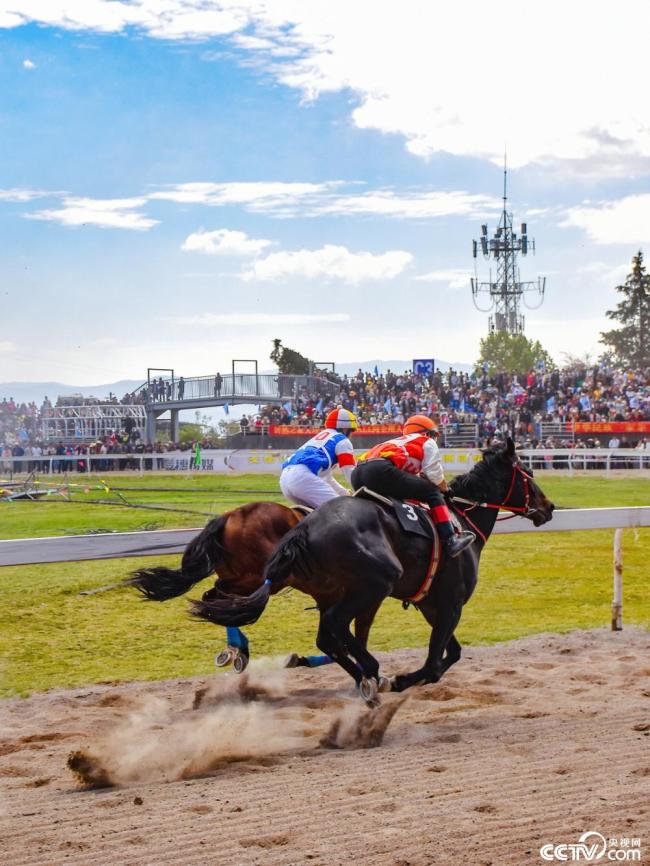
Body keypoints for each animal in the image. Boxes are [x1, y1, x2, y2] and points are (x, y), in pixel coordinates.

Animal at [187, 438, 552, 704]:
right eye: (529, 474)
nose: (548, 508)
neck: (461, 517)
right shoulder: (450, 603)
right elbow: (435, 664)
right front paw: (399, 679)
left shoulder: (432, 604)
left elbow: (452, 653)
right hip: (373, 582)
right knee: (332, 626)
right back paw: (370, 672)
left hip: (331, 588)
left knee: (321, 631)